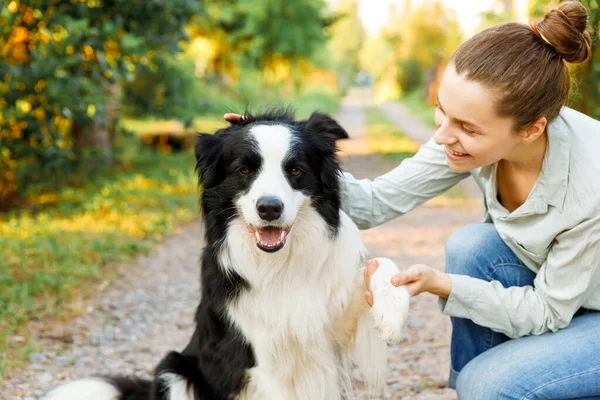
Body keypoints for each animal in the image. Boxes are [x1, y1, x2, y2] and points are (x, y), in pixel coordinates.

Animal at [45, 108, 412, 400]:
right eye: (244, 170)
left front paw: (391, 313)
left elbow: (382, 267)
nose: (269, 208)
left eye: (295, 170)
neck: (281, 264)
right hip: (174, 369)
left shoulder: (334, 330)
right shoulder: (260, 358)